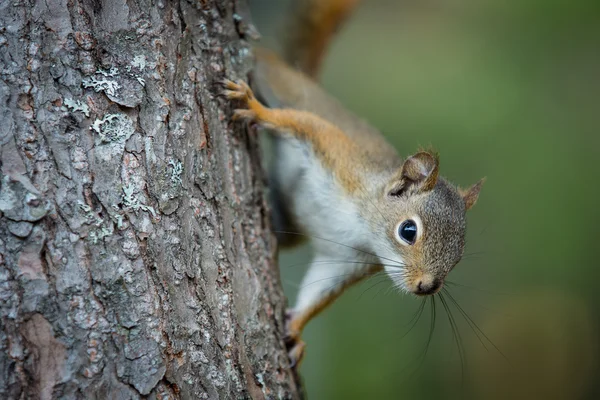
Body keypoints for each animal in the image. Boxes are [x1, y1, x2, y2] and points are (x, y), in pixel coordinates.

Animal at [220, 0, 482, 368]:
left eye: (458, 255)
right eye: (408, 231)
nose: (427, 287)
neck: (362, 224)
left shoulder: (347, 261)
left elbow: (319, 289)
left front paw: (296, 330)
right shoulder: (339, 158)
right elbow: (303, 124)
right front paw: (256, 110)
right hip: (282, 83)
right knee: (269, 68)